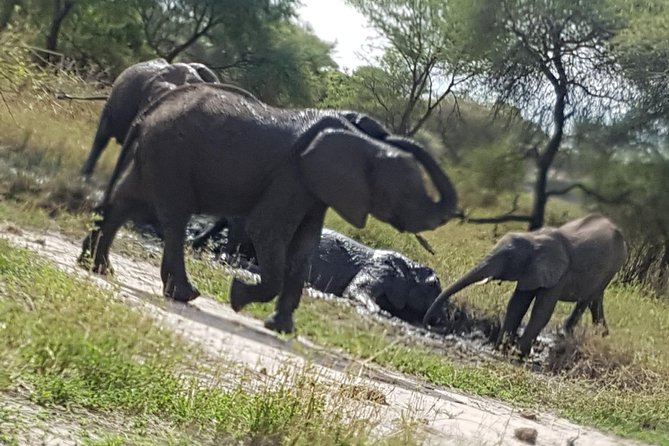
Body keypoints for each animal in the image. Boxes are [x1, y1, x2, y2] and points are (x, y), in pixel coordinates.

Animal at [77, 83, 454, 334]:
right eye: (406, 191)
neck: (361, 144)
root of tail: (150, 112)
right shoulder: (292, 175)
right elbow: (267, 231)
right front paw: (237, 296)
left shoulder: (313, 188)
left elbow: (303, 250)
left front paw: (280, 327)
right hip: (171, 153)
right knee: (171, 216)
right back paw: (182, 293)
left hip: (157, 153)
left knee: (125, 202)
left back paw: (97, 268)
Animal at [422, 214, 628, 358]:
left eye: (508, 258)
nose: (428, 324)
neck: (534, 238)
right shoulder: (531, 271)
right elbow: (517, 304)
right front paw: (501, 348)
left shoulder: (558, 273)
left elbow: (542, 310)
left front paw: (519, 353)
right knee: (595, 299)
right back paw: (602, 335)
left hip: (613, 265)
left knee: (587, 299)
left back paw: (567, 333)